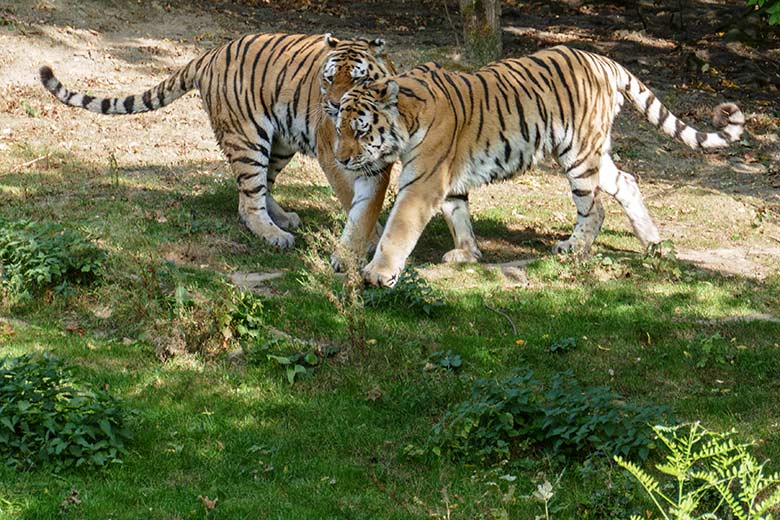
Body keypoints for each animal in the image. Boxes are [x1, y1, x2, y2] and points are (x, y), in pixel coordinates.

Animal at [40, 32, 396, 256]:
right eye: (329, 78)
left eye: (358, 79)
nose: (334, 105)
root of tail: (211, 53)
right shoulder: (333, 154)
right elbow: (353, 199)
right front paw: (372, 241)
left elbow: (370, 199)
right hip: (249, 139)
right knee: (248, 200)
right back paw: (274, 235)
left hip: (280, 143)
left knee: (262, 187)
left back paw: (282, 219)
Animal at [328, 46, 744, 286]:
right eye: (339, 127)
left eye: (361, 130)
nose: (341, 158)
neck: (406, 118)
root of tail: (604, 60)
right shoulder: (439, 178)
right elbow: (451, 213)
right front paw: (467, 254)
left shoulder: (422, 184)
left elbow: (397, 230)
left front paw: (378, 274)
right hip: (595, 154)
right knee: (625, 182)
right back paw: (653, 245)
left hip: (578, 154)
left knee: (595, 208)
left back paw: (574, 249)